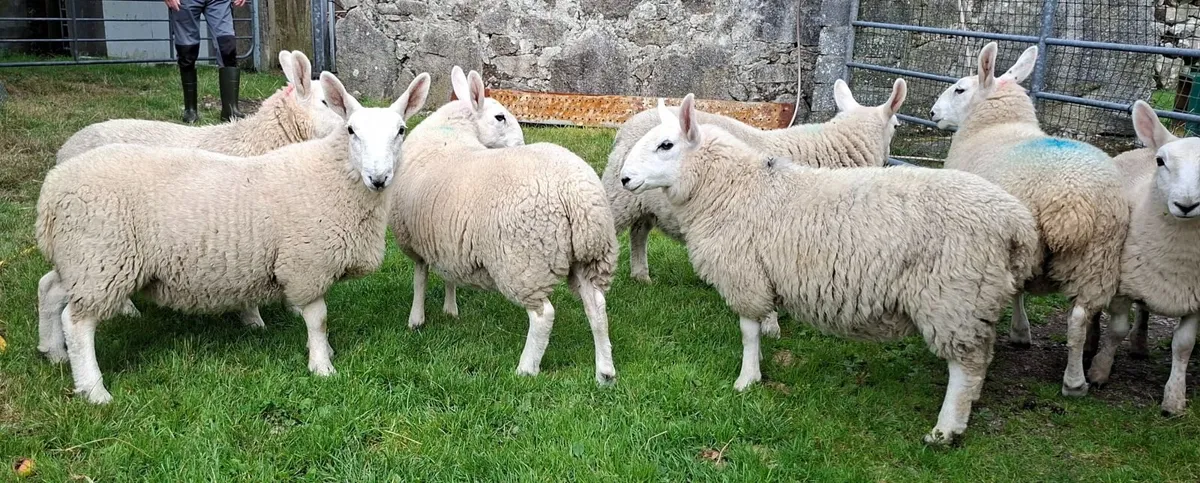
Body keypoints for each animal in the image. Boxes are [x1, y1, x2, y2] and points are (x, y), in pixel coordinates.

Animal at [34, 71, 431, 403]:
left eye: (401, 131)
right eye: (351, 131)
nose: (378, 178)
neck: (335, 177)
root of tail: (53, 187)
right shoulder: (306, 264)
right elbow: (318, 319)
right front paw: (322, 366)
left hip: (85, 260)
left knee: (49, 288)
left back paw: (52, 351)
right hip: (102, 257)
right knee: (78, 323)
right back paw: (93, 389)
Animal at [391, 66, 618, 385]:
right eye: (500, 117)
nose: (521, 144)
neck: (453, 132)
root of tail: (575, 194)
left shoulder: (417, 240)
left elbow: (419, 278)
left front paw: (416, 319)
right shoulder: (446, 239)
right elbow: (446, 276)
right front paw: (450, 309)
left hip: (524, 263)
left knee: (543, 315)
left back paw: (526, 368)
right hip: (591, 257)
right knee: (596, 306)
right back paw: (605, 372)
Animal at [619, 94, 1039, 444]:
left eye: (666, 145)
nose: (625, 178)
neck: (733, 187)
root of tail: (1017, 224)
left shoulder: (745, 274)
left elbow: (748, 333)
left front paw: (747, 379)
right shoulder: (760, 274)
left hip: (953, 297)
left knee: (965, 367)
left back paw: (946, 430)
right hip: (971, 299)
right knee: (979, 359)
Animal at [930, 42, 1128, 397]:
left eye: (959, 89)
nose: (932, 113)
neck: (995, 125)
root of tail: (1071, 204)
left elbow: (1018, 293)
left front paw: (1020, 332)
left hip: (1031, 240)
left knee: (1024, 291)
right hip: (1098, 256)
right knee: (1079, 317)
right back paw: (1076, 382)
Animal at [1084, 101, 1200, 415]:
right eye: (1162, 162)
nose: (1186, 204)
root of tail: (1143, 148)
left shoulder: (1196, 301)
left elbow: (1183, 346)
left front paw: (1174, 399)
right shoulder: (1122, 287)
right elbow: (1116, 330)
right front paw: (1099, 371)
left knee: (1145, 309)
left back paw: (1139, 344)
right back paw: (1090, 343)